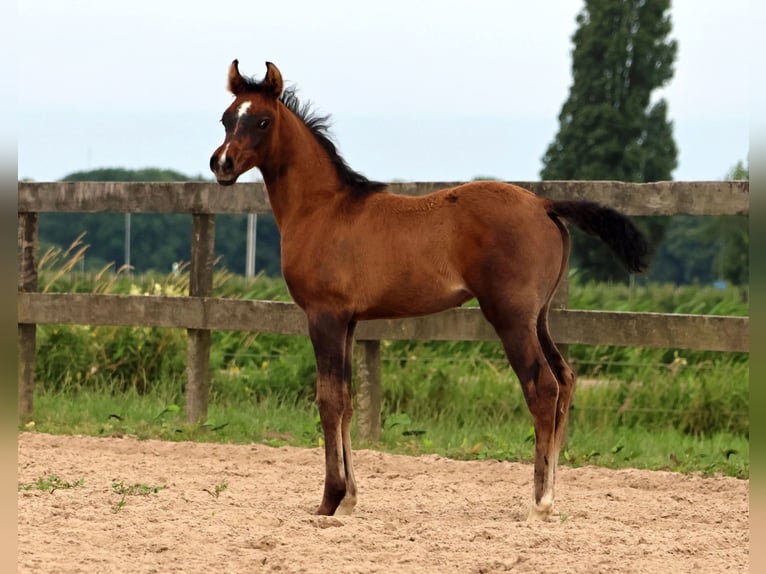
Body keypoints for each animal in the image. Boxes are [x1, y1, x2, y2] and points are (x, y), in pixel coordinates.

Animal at [208, 60, 648, 520]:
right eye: (226, 118)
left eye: (262, 121)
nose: (221, 164)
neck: (323, 209)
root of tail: (545, 205)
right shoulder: (349, 322)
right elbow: (347, 402)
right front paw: (349, 500)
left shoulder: (323, 316)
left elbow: (328, 400)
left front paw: (330, 500)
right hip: (539, 317)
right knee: (565, 380)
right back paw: (550, 495)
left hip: (510, 316)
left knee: (543, 387)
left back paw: (539, 504)